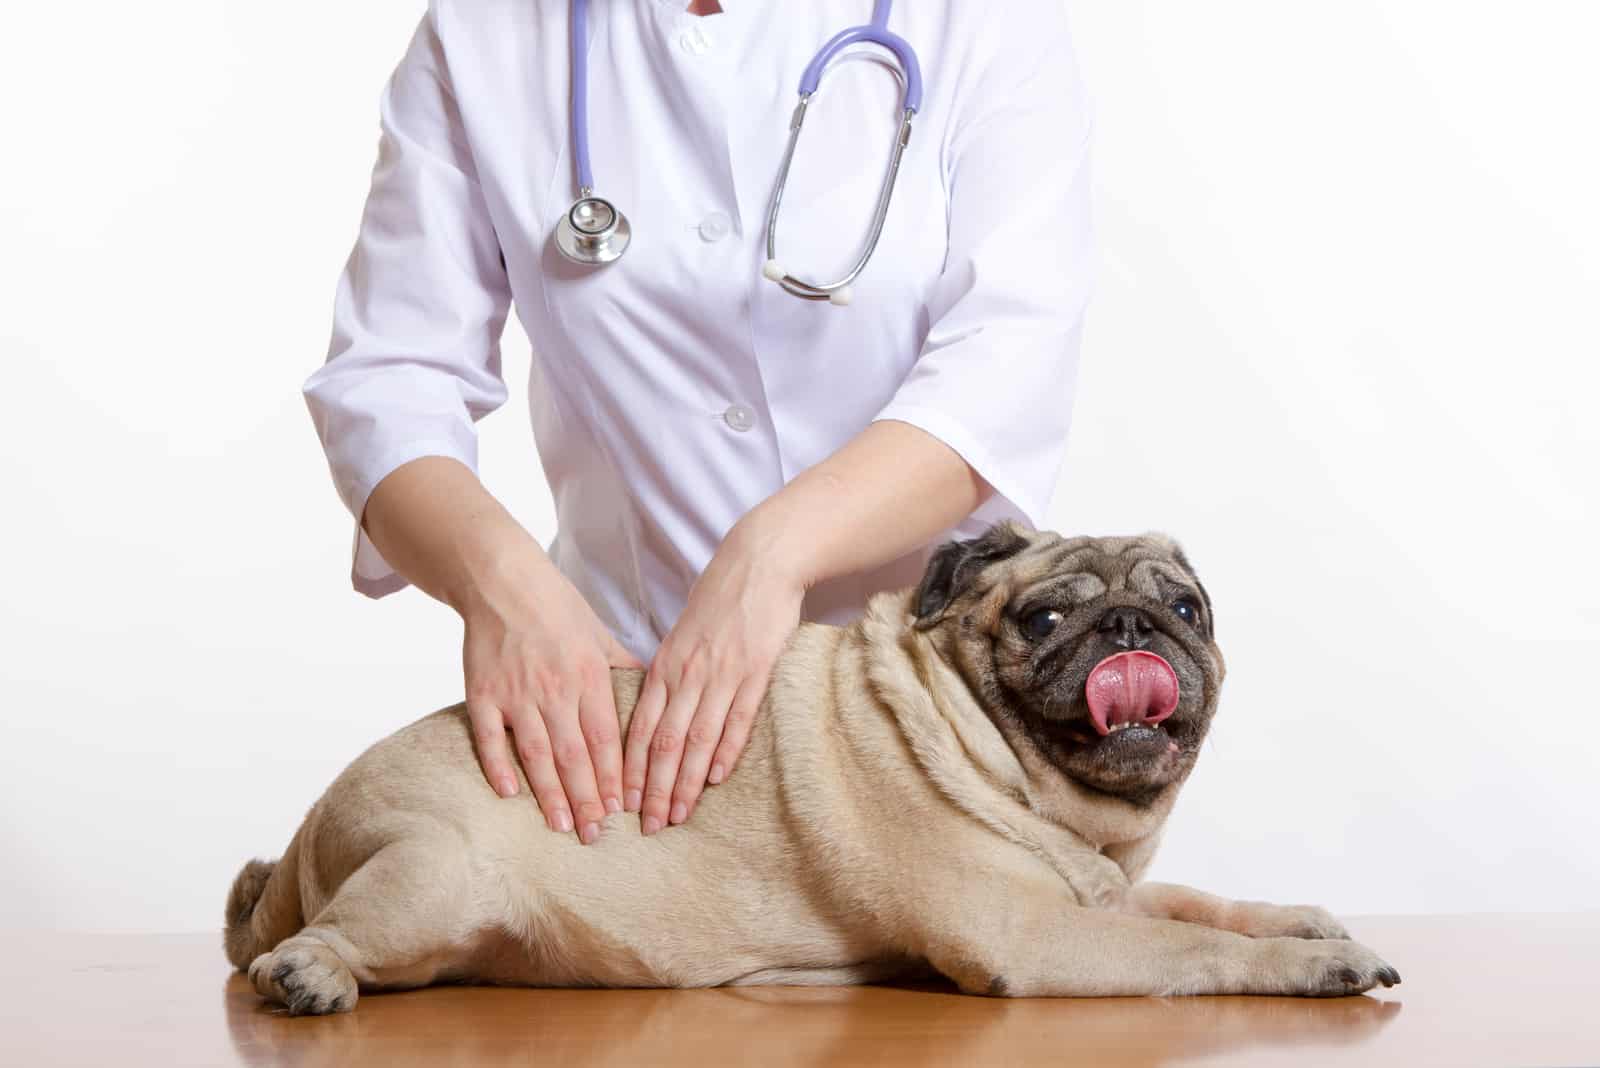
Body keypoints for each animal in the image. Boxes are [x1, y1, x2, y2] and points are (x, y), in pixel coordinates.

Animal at [228, 524, 1401, 1016]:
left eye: (1189, 610)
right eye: (1043, 619)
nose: (1131, 627)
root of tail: (304, 832)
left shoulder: (1098, 892)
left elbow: (1201, 901)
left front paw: (1303, 921)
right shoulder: (1037, 933)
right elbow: (1192, 945)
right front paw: (1314, 968)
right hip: (434, 878)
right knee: (297, 949)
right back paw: (307, 974)